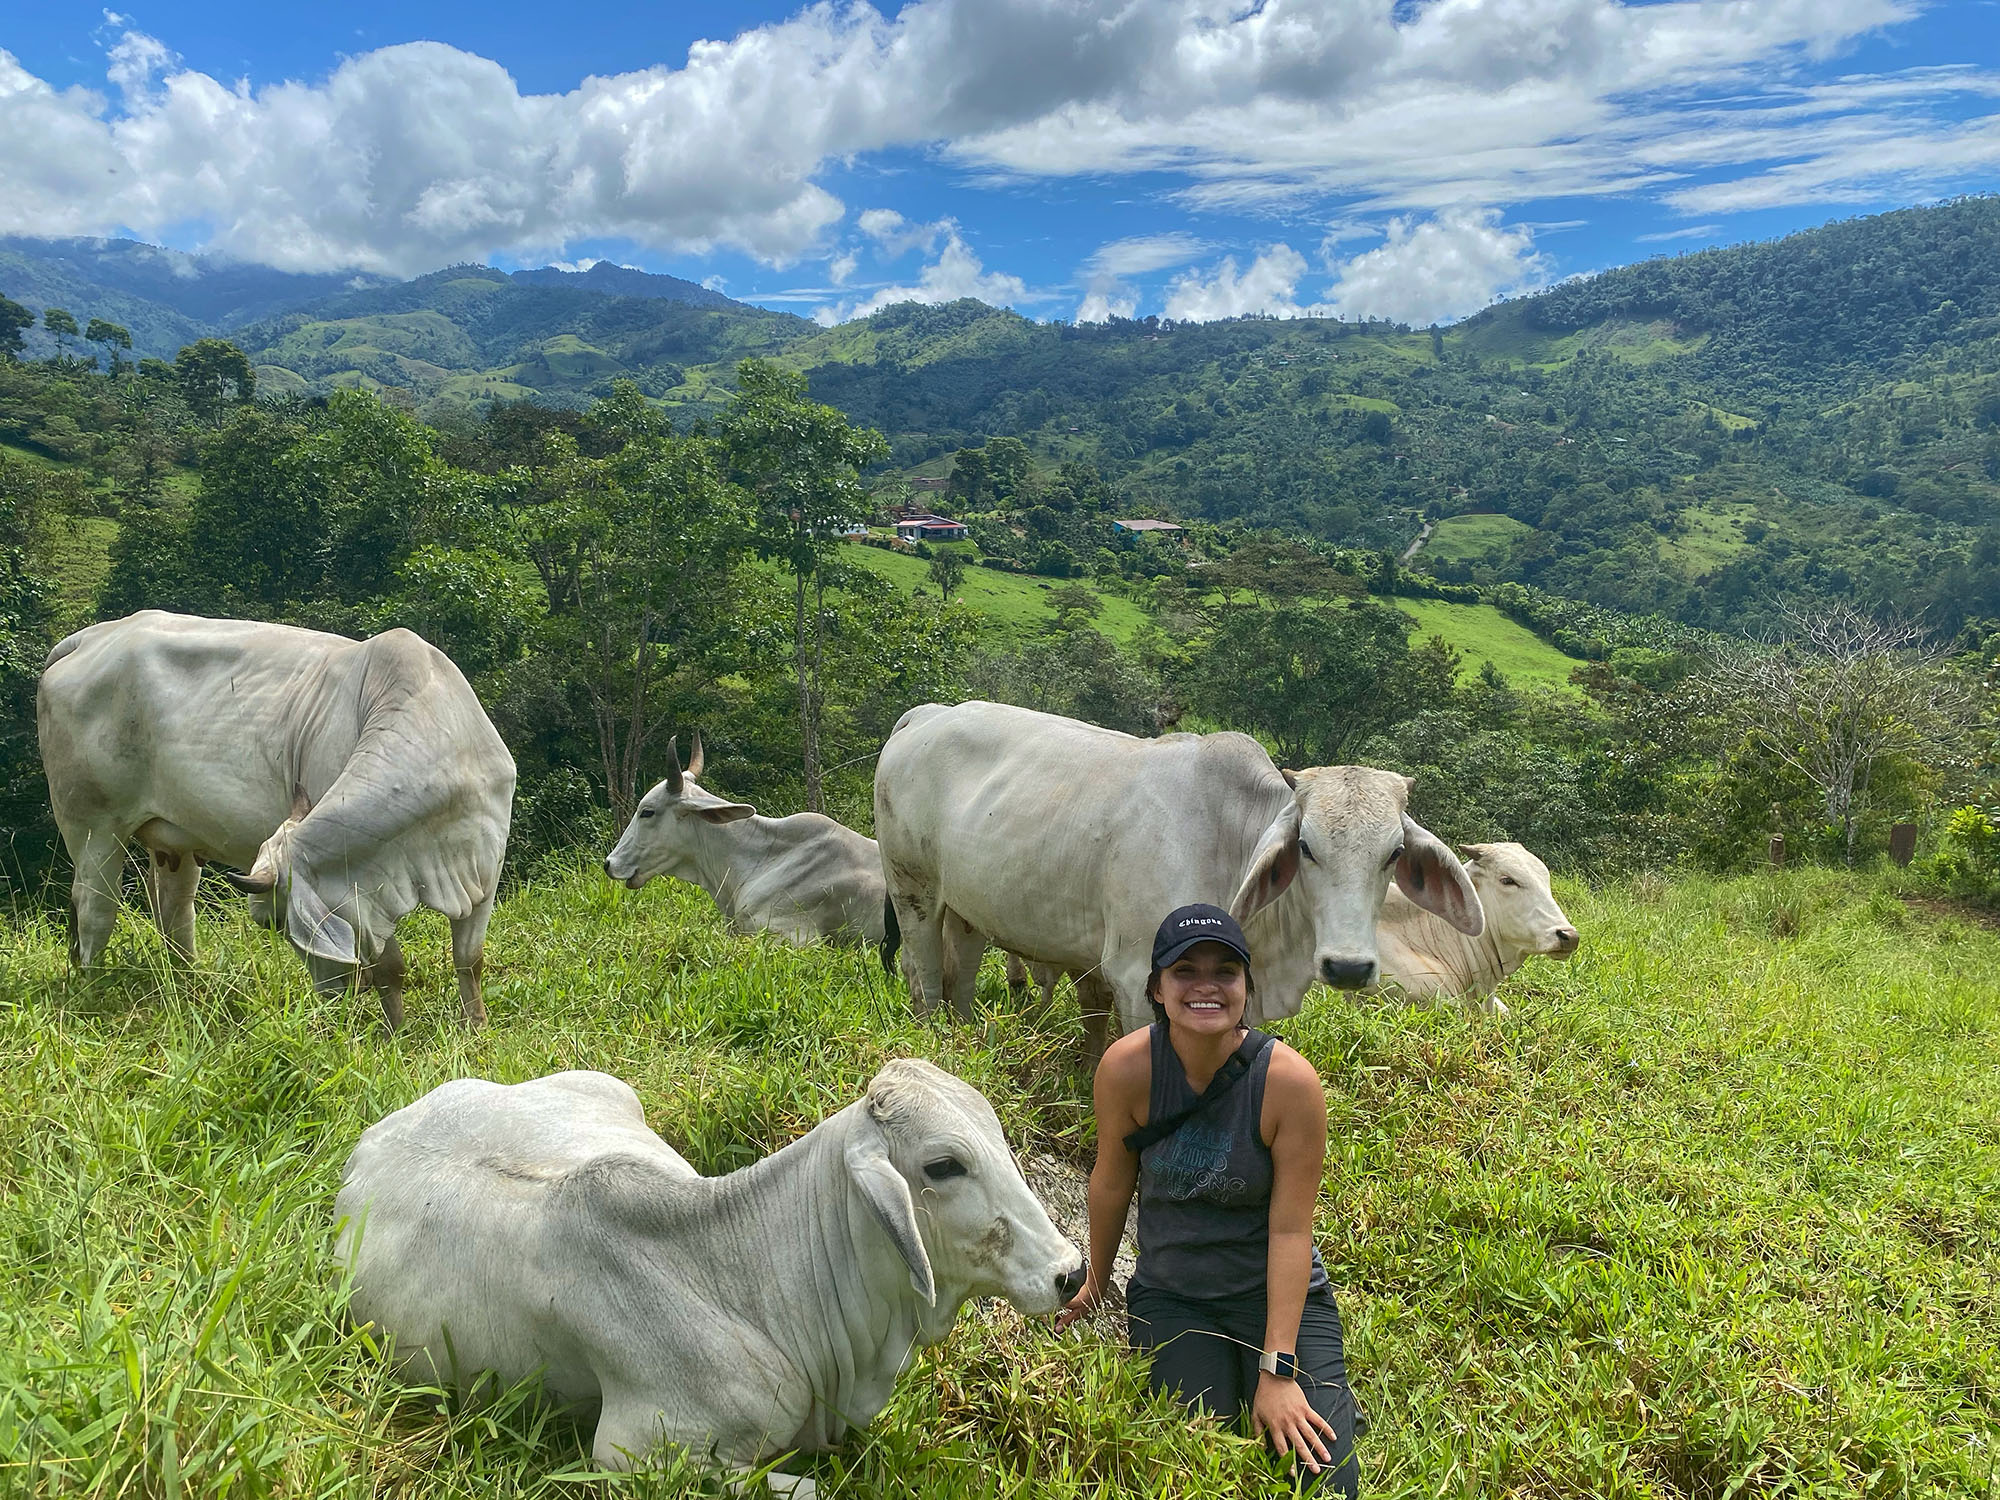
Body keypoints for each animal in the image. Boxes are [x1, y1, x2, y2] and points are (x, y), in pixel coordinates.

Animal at [38, 612, 516, 1032]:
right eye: (274, 926)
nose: (333, 995)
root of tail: (92, 636)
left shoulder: (485, 871)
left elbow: (469, 960)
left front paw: (475, 1029)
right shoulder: (365, 885)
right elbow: (390, 967)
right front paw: (395, 1033)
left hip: (172, 843)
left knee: (174, 912)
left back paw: (193, 989)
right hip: (93, 829)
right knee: (95, 910)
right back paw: (94, 992)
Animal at [876, 704, 1488, 1056]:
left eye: (1393, 853)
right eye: (1306, 848)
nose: (1349, 967)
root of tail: (924, 714)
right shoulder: (1134, 977)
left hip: (968, 910)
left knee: (960, 970)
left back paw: (963, 1034)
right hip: (912, 889)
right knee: (923, 969)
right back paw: (934, 1037)